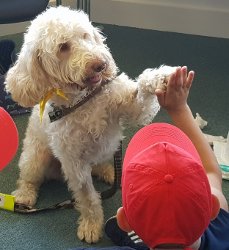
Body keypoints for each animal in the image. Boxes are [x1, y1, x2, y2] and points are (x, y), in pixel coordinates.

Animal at [4, 5, 176, 243]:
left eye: (86, 36)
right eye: (63, 47)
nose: (100, 65)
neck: (83, 100)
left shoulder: (133, 108)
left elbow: (143, 91)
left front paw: (160, 78)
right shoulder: (75, 164)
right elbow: (87, 197)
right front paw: (91, 225)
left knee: (101, 165)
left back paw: (112, 173)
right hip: (35, 158)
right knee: (28, 179)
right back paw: (24, 195)